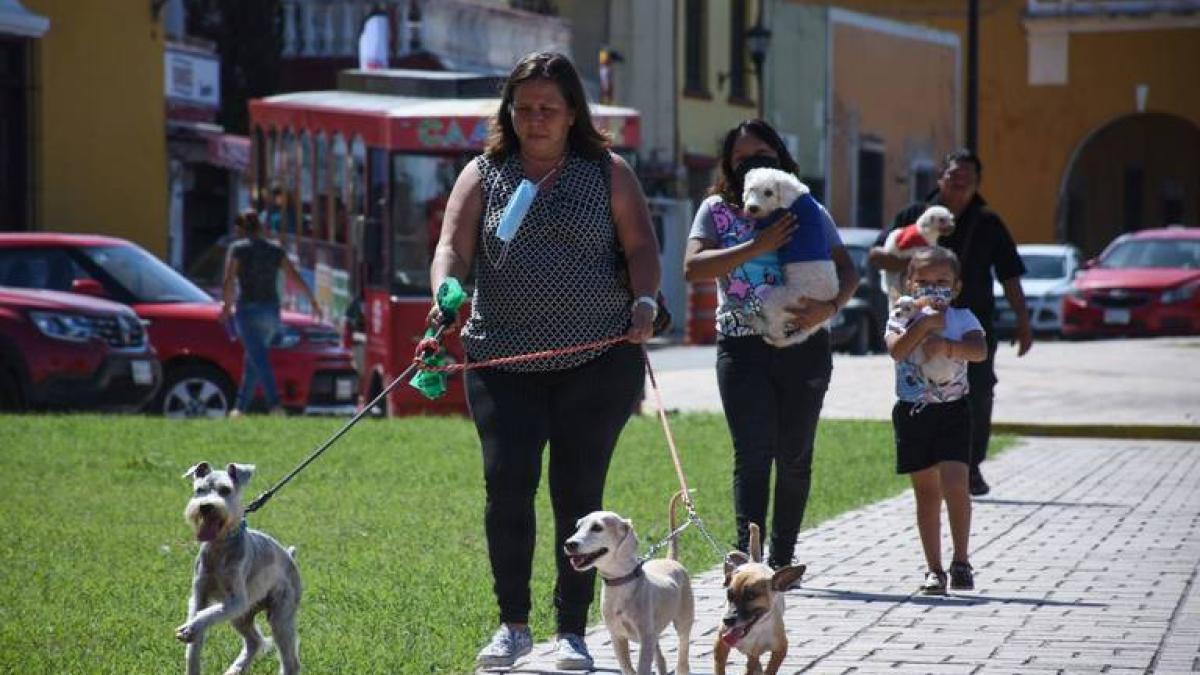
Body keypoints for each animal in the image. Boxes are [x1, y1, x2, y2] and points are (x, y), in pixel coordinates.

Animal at [177, 461, 302, 672]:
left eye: (225, 490)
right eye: (199, 490)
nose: (205, 506)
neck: (220, 547)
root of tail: (289, 555)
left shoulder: (236, 600)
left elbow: (207, 614)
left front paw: (190, 628)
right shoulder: (200, 594)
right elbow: (194, 646)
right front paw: (191, 636)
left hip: (280, 617)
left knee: (290, 662)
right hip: (241, 616)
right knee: (255, 641)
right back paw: (234, 670)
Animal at [566, 487, 700, 672]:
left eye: (597, 527)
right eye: (578, 527)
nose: (569, 544)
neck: (621, 583)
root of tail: (671, 560)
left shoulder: (645, 636)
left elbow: (642, 667)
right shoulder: (617, 636)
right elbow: (627, 668)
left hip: (683, 619)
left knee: (683, 654)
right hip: (654, 633)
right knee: (661, 659)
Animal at [710, 523, 806, 672]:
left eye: (751, 596)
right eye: (729, 596)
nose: (728, 620)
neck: (755, 630)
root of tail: (754, 562)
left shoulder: (780, 649)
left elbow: (770, 669)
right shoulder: (720, 646)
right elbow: (719, 668)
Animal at [744, 166, 840, 345]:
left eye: (769, 192)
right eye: (751, 189)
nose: (752, 208)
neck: (794, 195)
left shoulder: (775, 218)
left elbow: (762, 222)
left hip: (778, 299)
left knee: (774, 331)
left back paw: (757, 323)